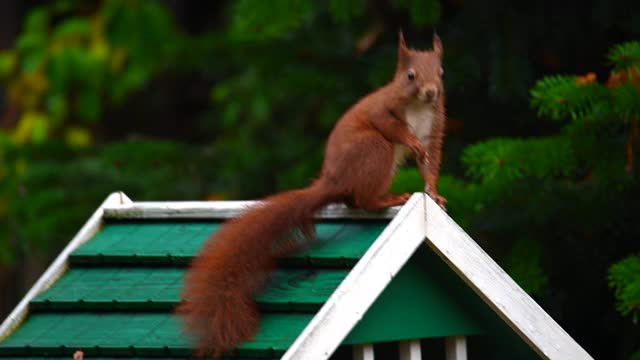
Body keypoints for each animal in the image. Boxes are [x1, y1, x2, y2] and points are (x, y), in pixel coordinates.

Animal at [179, 32, 450, 358]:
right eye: (410, 76)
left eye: (441, 72)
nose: (431, 92)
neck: (418, 109)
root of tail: (333, 181)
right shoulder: (384, 107)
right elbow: (388, 124)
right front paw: (409, 140)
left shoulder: (434, 127)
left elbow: (430, 162)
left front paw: (435, 195)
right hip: (372, 149)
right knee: (363, 197)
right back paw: (388, 198)